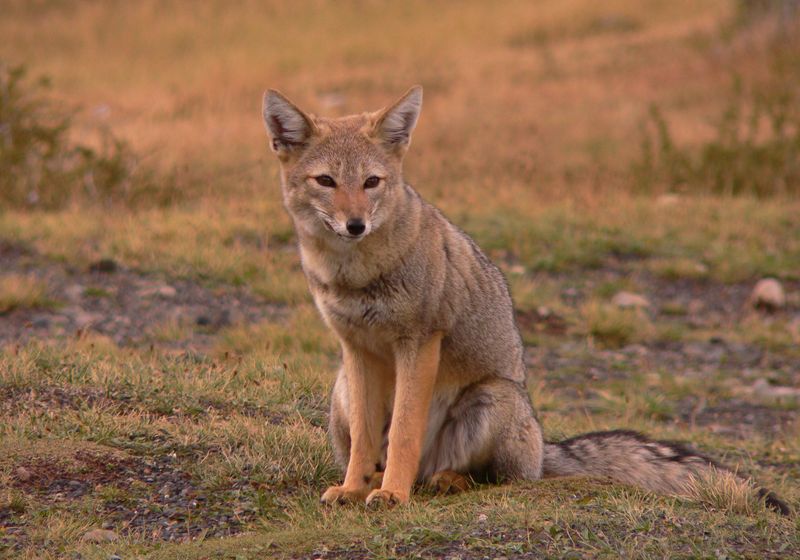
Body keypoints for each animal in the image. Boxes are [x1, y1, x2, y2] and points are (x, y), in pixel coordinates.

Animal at [261, 85, 790, 515]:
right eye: (326, 182)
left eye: (371, 182)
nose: (355, 225)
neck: (354, 274)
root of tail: (542, 445)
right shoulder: (355, 348)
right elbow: (368, 439)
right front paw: (353, 489)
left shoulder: (419, 341)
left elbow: (406, 432)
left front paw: (393, 494)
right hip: (341, 391)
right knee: (379, 450)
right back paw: (378, 481)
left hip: (493, 399)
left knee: (492, 477)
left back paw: (438, 481)